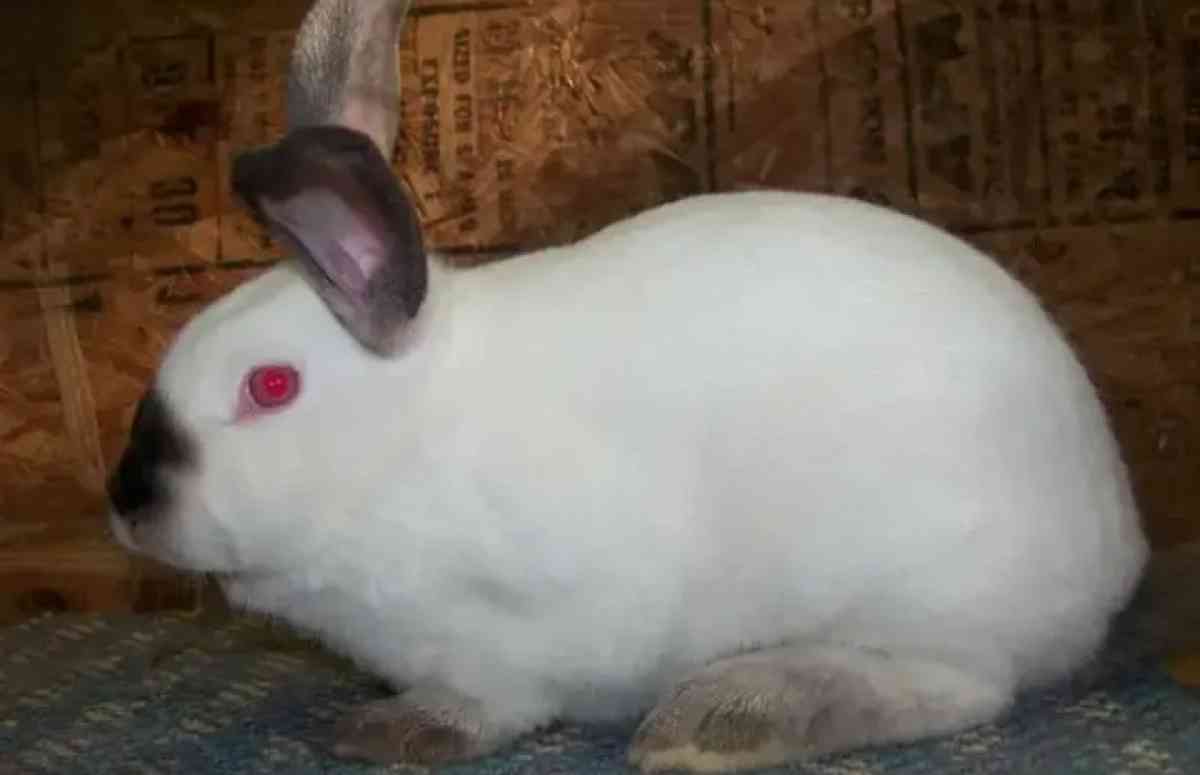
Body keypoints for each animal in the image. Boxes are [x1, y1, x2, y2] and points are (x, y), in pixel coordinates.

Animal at [105, 0, 1179, 771]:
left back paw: (724, 718)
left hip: (926, 588)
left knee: (961, 688)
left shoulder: (526, 635)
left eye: (269, 387)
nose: (126, 504)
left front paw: (397, 732)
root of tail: (1118, 548)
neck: (404, 443)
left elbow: (497, 701)